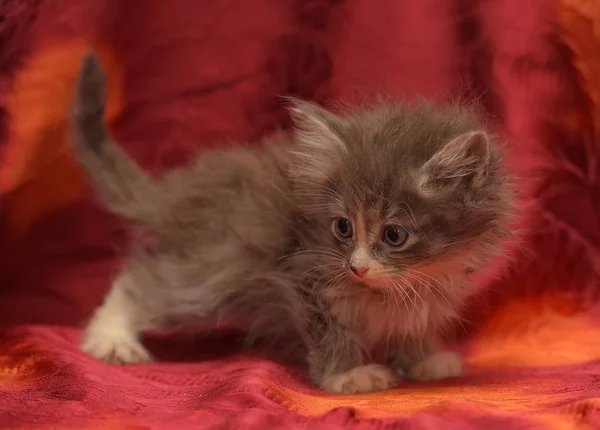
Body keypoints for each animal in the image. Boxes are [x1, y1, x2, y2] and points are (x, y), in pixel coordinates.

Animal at [72, 54, 516, 396]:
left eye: (394, 235)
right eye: (342, 227)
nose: (356, 267)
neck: (402, 283)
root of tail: (179, 194)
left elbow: (413, 324)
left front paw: (423, 358)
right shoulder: (305, 276)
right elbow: (330, 333)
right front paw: (348, 375)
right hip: (212, 268)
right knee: (143, 282)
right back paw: (111, 337)